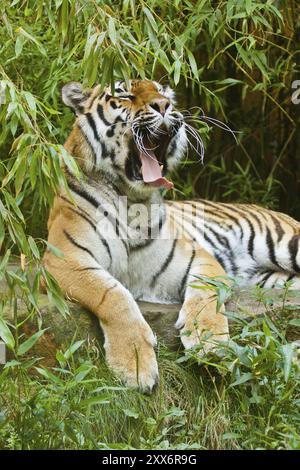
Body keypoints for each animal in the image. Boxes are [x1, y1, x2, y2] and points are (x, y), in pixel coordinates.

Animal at [43, 79, 300, 392]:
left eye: (164, 93)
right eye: (125, 94)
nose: (164, 106)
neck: (132, 200)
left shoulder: (197, 256)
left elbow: (206, 294)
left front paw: (208, 342)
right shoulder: (65, 258)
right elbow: (112, 294)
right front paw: (135, 365)